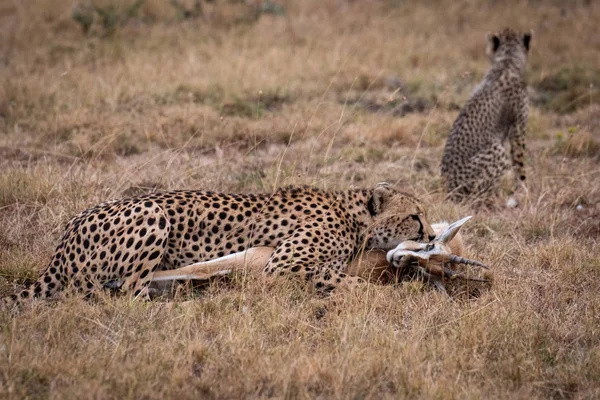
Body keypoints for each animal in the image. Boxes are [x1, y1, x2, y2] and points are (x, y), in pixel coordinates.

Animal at [4, 183, 436, 308]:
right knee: (126, 293)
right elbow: (345, 281)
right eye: (416, 216)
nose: (432, 237)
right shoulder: (282, 266)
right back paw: (183, 304)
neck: (352, 214)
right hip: (152, 212)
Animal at [438, 27, 532, 203]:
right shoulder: (518, 128)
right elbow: (520, 163)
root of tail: (447, 191)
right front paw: (525, 191)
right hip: (496, 150)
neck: (506, 63)